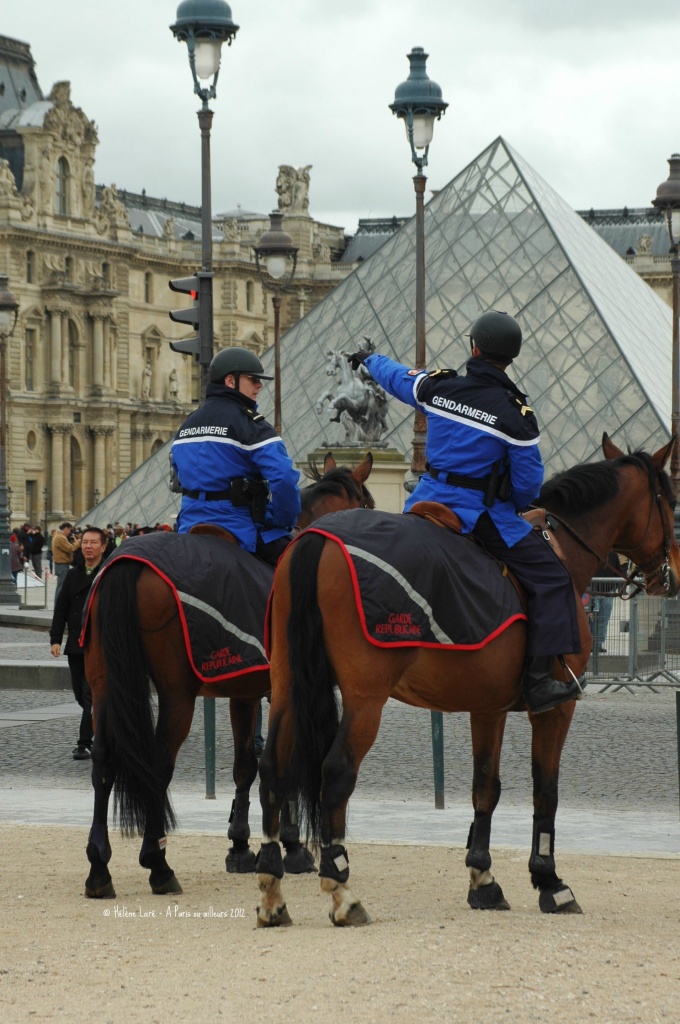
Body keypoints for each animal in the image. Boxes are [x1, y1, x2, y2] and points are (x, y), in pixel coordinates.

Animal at [82, 454, 374, 897]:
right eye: (369, 505)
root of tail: (124, 562)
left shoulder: (246, 690)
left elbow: (245, 764)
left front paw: (240, 845)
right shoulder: (285, 688)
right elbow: (283, 764)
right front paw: (292, 847)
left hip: (104, 684)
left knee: (103, 761)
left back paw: (99, 868)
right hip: (176, 694)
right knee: (157, 763)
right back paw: (158, 863)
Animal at [255, 436, 680, 925]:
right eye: (670, 500)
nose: (671, 574)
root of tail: (316, 539)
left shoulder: (488, 706)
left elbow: (485, 789)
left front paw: (483, 879)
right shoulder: (556, 707)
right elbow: (546, 792)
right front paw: (550, 881)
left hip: (288, 686)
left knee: (272, 768)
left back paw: (271, 889)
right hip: (365, 699)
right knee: (336, 772)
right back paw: (341, 889)